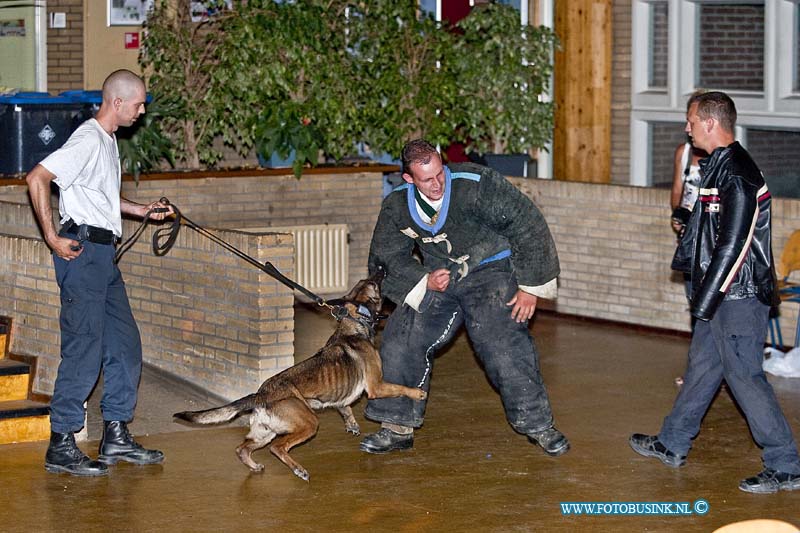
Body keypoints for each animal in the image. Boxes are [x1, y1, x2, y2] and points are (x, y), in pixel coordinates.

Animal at [173, 268, 428, 480]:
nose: (381, 267)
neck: (352, 324)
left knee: (242, 448)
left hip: (264, 432)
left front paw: (352, 423)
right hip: (308, 423)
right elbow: (399, 387)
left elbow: (344, 408)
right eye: (373, 283)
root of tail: (261, 395)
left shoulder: (342, 400)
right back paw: (298, 469)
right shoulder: (377, 386)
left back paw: (254, 466)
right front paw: (417, 393)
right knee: (278, 448)